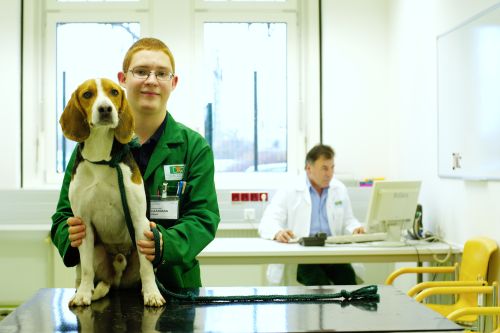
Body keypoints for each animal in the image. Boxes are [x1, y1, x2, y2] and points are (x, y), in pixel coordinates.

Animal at [58, 78, 164, 306]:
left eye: (114, 92)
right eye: (87, 94)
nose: (105, 109)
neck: (101, 157)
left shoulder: (139, 221)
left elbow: (146, 269)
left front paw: (152, 293)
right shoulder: (83, 223)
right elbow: (86, 269)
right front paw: (83, 293)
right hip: (96, 250)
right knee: (96, 275)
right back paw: (92, 290)